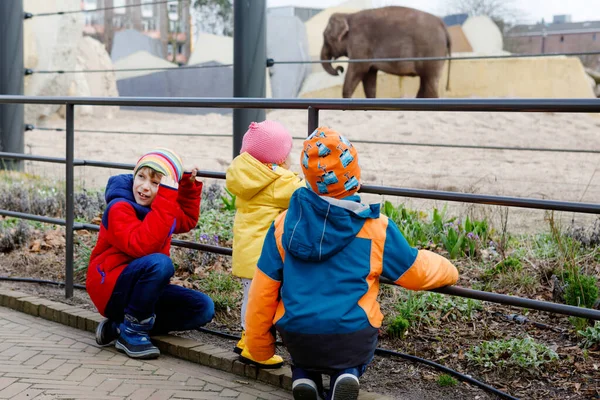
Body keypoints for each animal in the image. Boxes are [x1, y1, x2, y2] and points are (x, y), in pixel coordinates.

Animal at [322, 6, 452, 98]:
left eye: (325, 37)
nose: (339, 69)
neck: (347, 15)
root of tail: (444, 26)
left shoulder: (360, 43)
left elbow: (359, 69)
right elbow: (369, 76)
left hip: (432, 52)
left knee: (430, 82)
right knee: (425, 81)